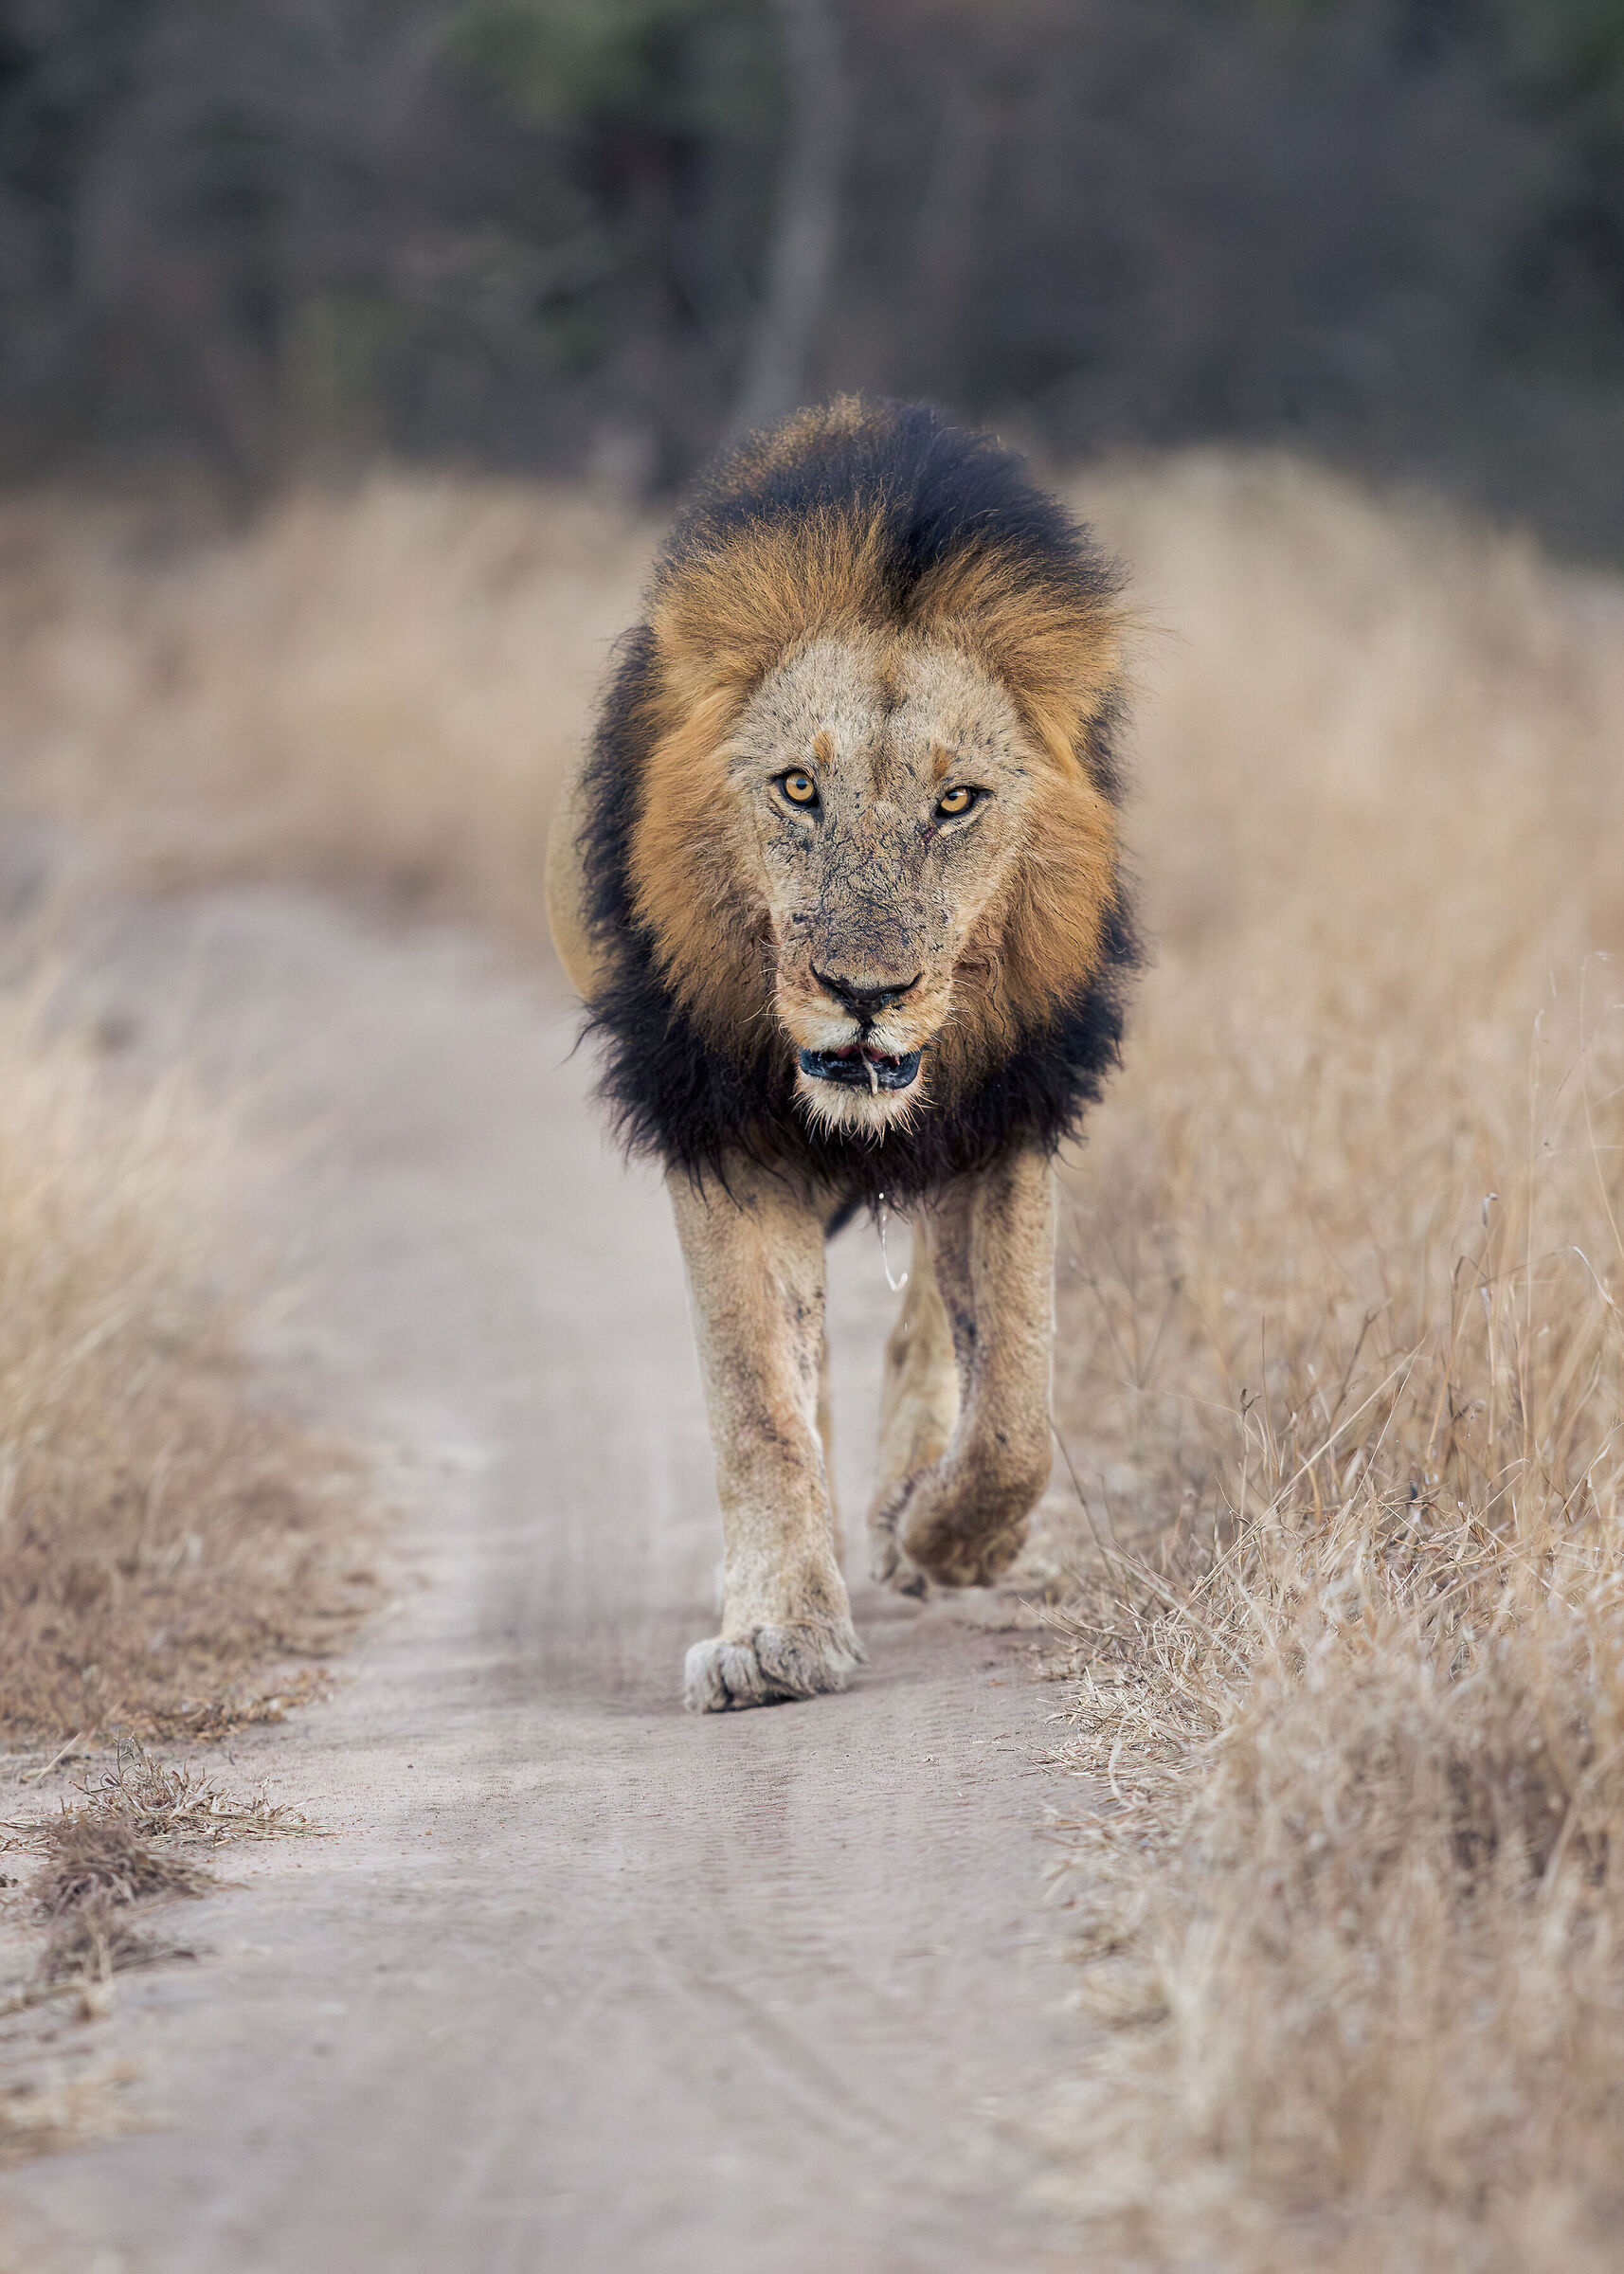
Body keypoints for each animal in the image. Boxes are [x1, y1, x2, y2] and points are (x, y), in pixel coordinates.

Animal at [547, 397, 1138, 1711]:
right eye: (797, 789)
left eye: (957, 802)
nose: (864, 998)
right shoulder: (716, 1127)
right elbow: (759, 1398)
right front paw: (777, 1631)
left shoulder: (1007, 1110)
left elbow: (1016, 1406)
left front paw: (949, 1537)